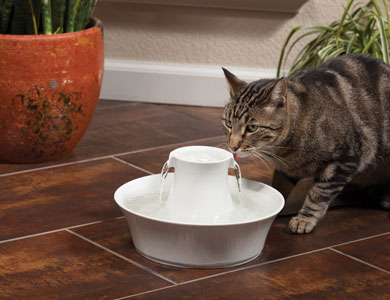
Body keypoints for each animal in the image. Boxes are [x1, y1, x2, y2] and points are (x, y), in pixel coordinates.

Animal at [222, 54, 390, 234]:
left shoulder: (345, 158)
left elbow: (319, 194)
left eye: (252, 127)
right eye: (228, 123)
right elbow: (280, 188)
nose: (233, 145)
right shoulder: (285, 170)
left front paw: (305, 218)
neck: (284, 150)